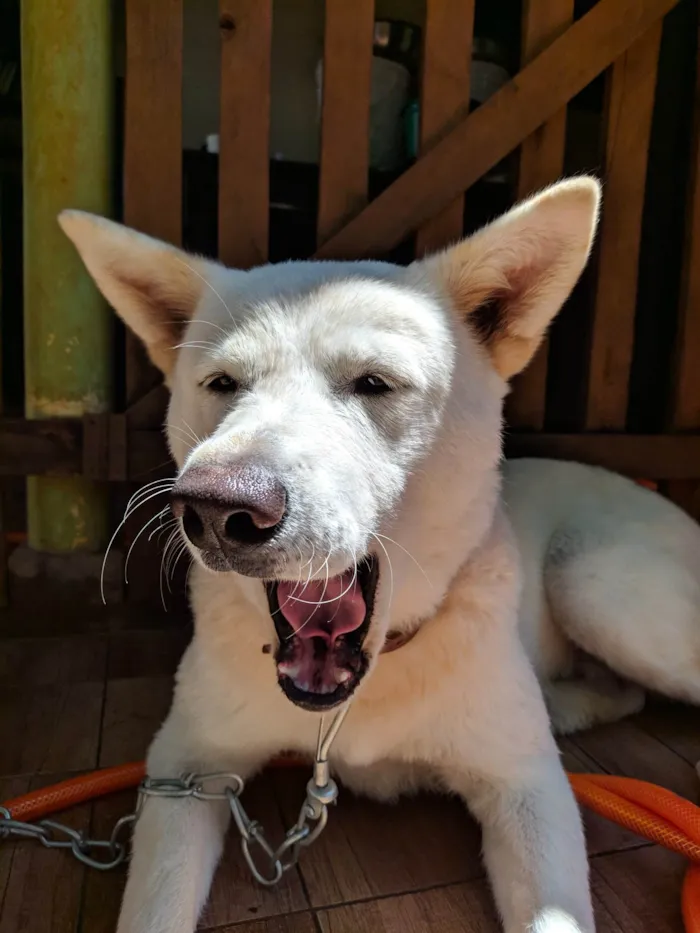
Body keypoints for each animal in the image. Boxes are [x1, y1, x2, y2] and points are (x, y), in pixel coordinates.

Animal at [58, 177, 700, 932]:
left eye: (373, 383)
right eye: (221, 384)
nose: (217, 509)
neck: (362, 690)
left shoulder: (528, 787)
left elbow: (554, 914)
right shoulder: (185, 768)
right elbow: (154, 905)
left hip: (592, 583)